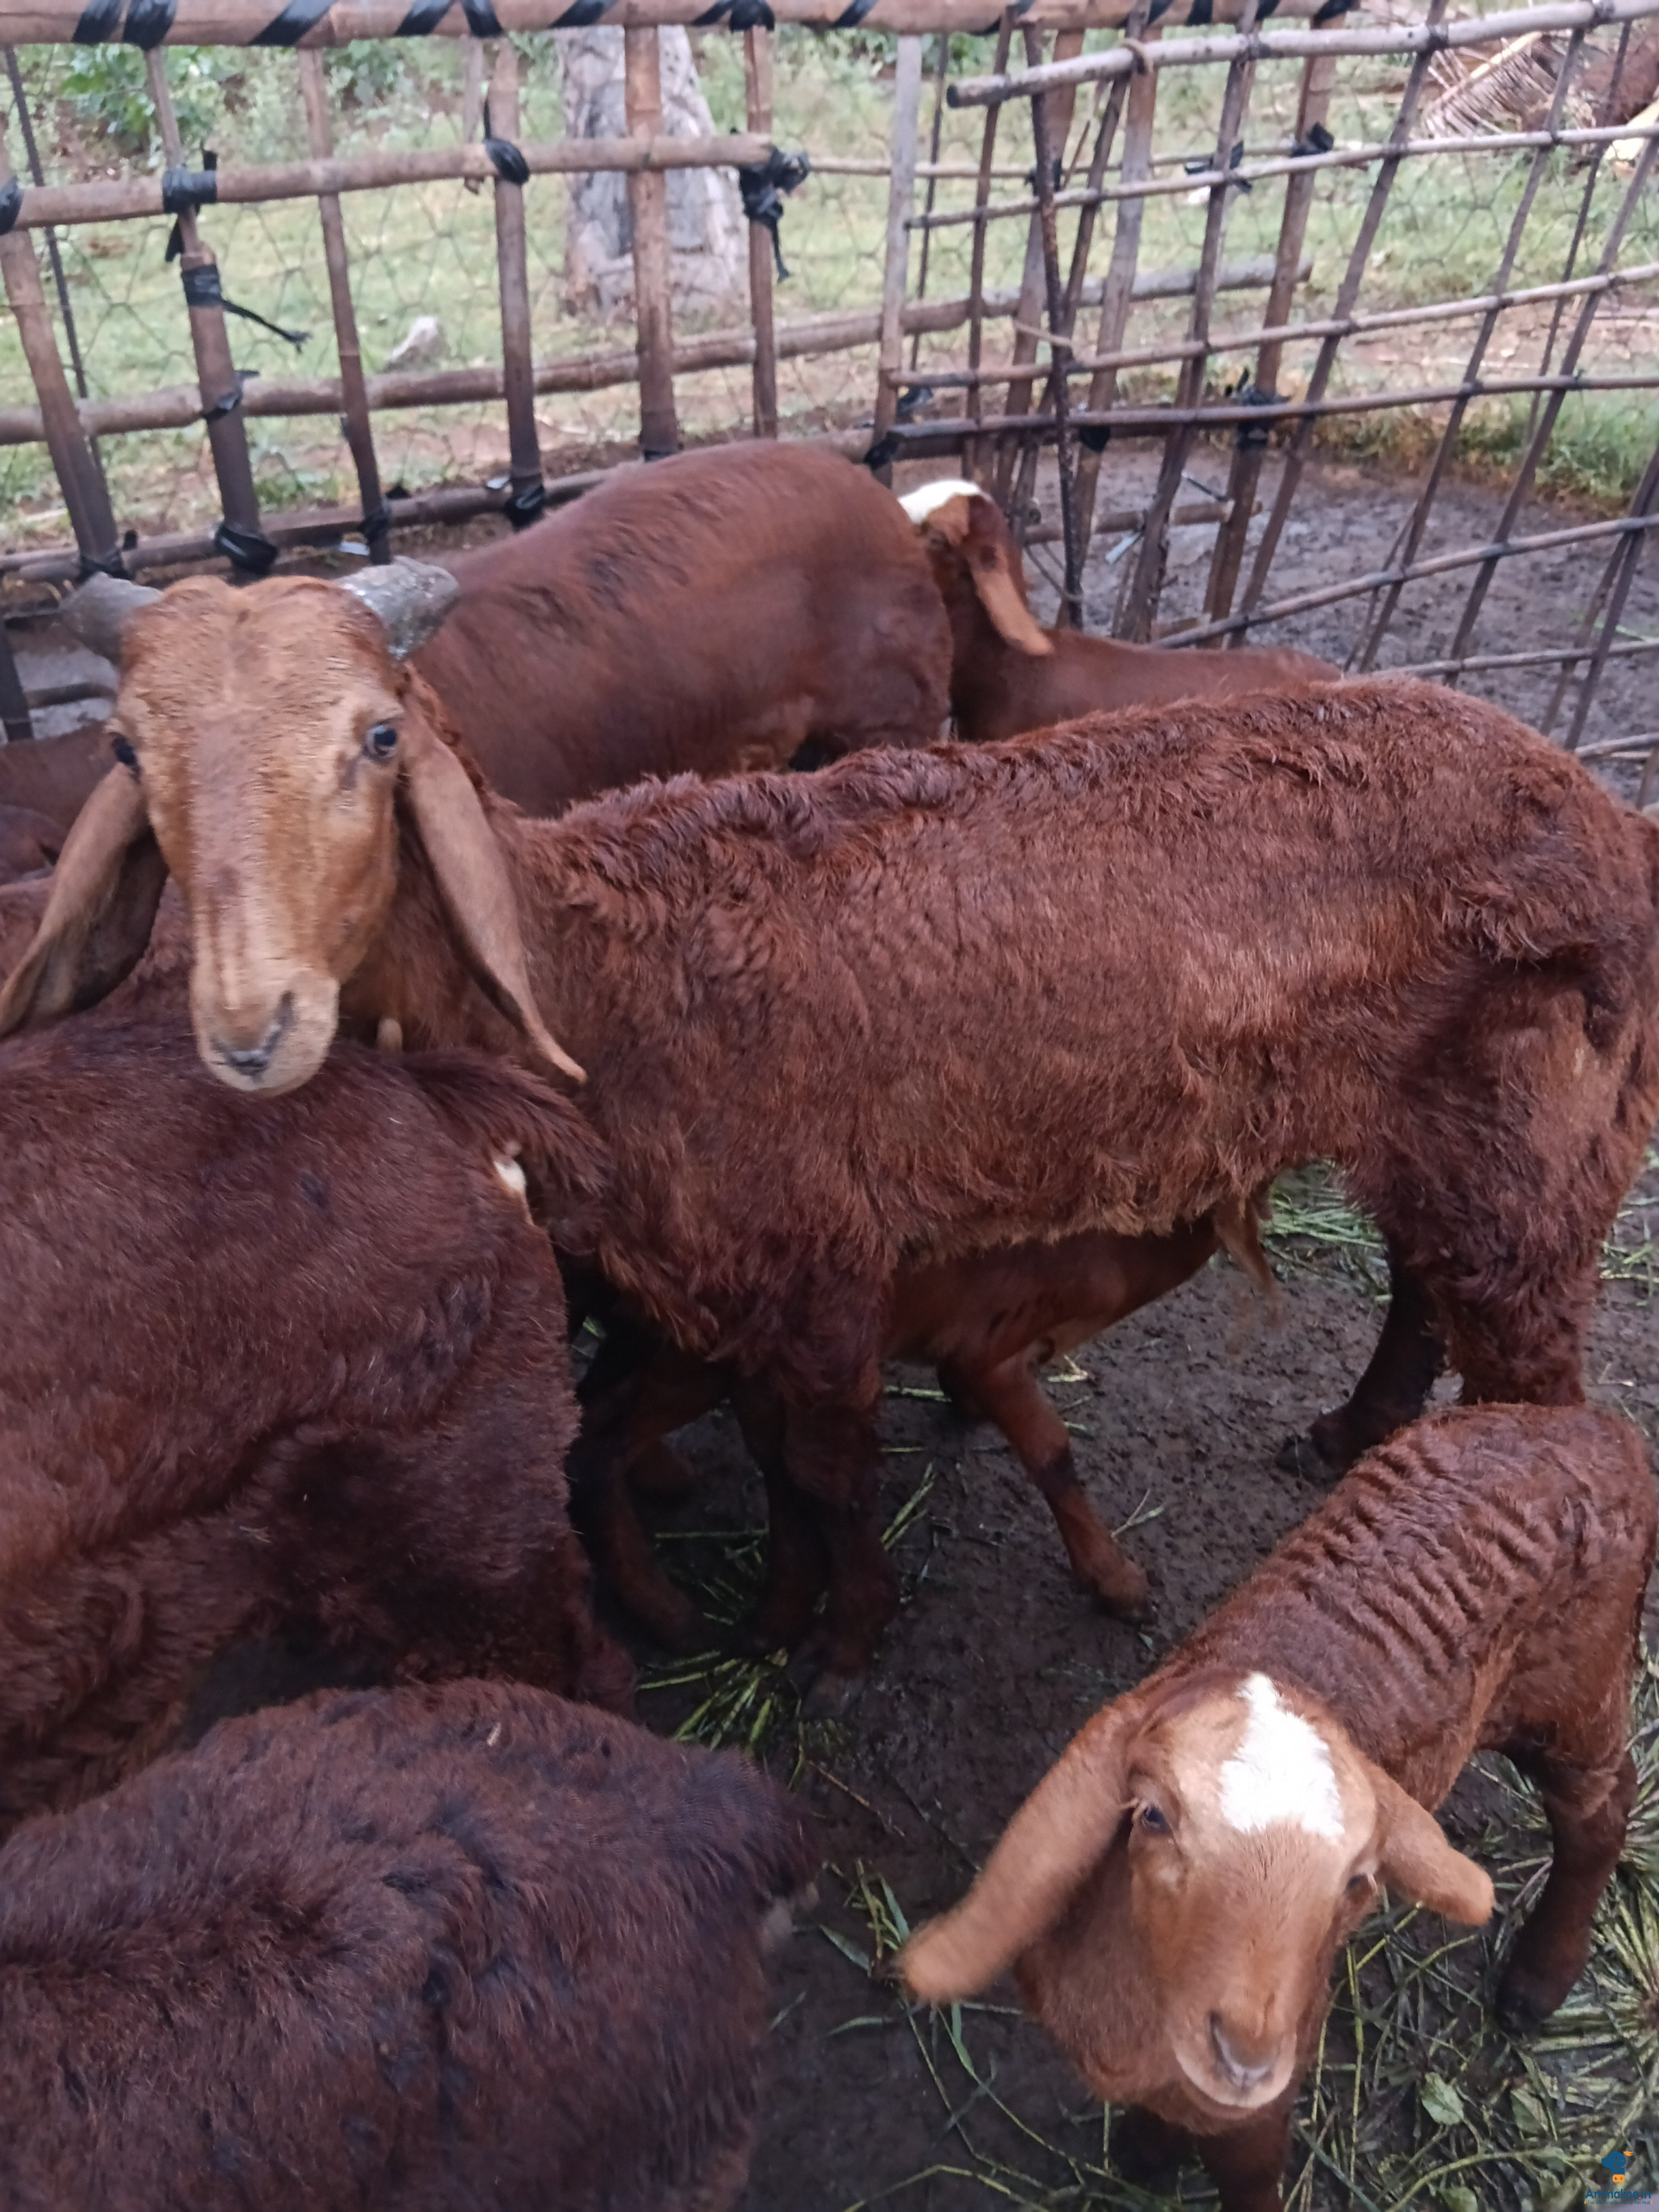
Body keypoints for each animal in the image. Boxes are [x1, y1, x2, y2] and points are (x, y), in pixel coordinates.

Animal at [7, 563, 1658, 1711]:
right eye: (127, 751)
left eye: (374, 735)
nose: (252, 1023)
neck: (596, 975)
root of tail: (1599, 804)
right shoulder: (734, 1284)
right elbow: (783, 1467)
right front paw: (774, 1615)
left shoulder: (818, 1268)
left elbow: (835, 1468)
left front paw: (842, 1643)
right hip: (1437, 1123)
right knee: (1420, 1279)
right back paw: (1352, 1431)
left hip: (1541, 1133)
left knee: (1528, 1368)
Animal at [900, 1404, 1656, 2212]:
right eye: (1153, 1817)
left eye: (1357, 1880)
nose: (1248, 2055)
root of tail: (1594, 1423)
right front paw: (1145, 2150)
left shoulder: (1257, 2111)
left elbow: (1251, 2174)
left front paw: (1156, 2150)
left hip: (1575, 1691)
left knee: (1604, 1806)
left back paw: (1538, 1981)